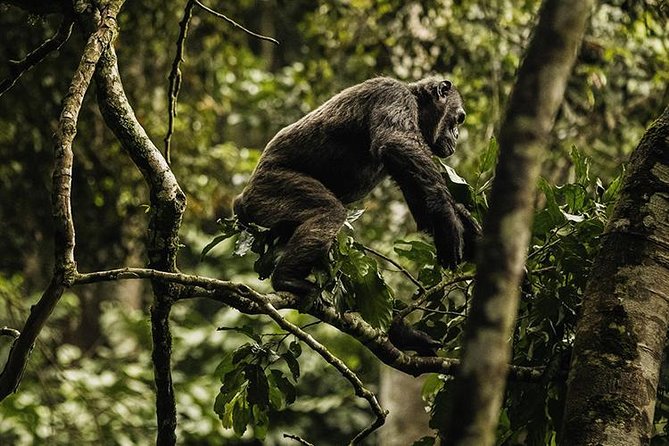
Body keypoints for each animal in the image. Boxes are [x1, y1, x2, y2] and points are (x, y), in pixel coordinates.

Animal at [233, 76, 476, 297]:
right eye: (459, 119)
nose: (457, 135)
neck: (416, 103)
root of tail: (242, 200)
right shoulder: (393, 95)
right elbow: (396, 142)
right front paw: (448, 222)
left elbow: (423, 205)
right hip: (271, 188)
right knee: (328, 213)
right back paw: (287, 279)